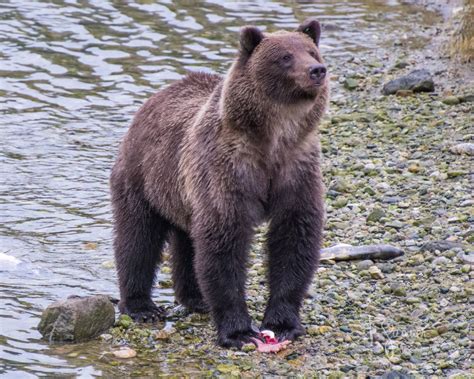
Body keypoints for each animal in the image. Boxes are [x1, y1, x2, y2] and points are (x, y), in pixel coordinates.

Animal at [111, 18, 330, 350]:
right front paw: (238, 331)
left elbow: (295, 238)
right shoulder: (226, 172)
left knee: (187, 242)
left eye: (311, 51)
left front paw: (282, 323)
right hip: (143, 176)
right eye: (285, 57)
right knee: (138, 236)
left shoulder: (297, 169)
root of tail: (157, 96)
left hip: (182, 194)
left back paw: (195, 298)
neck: (272, 139)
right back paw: (141, 306)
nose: (317, 70)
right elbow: (224, 242)